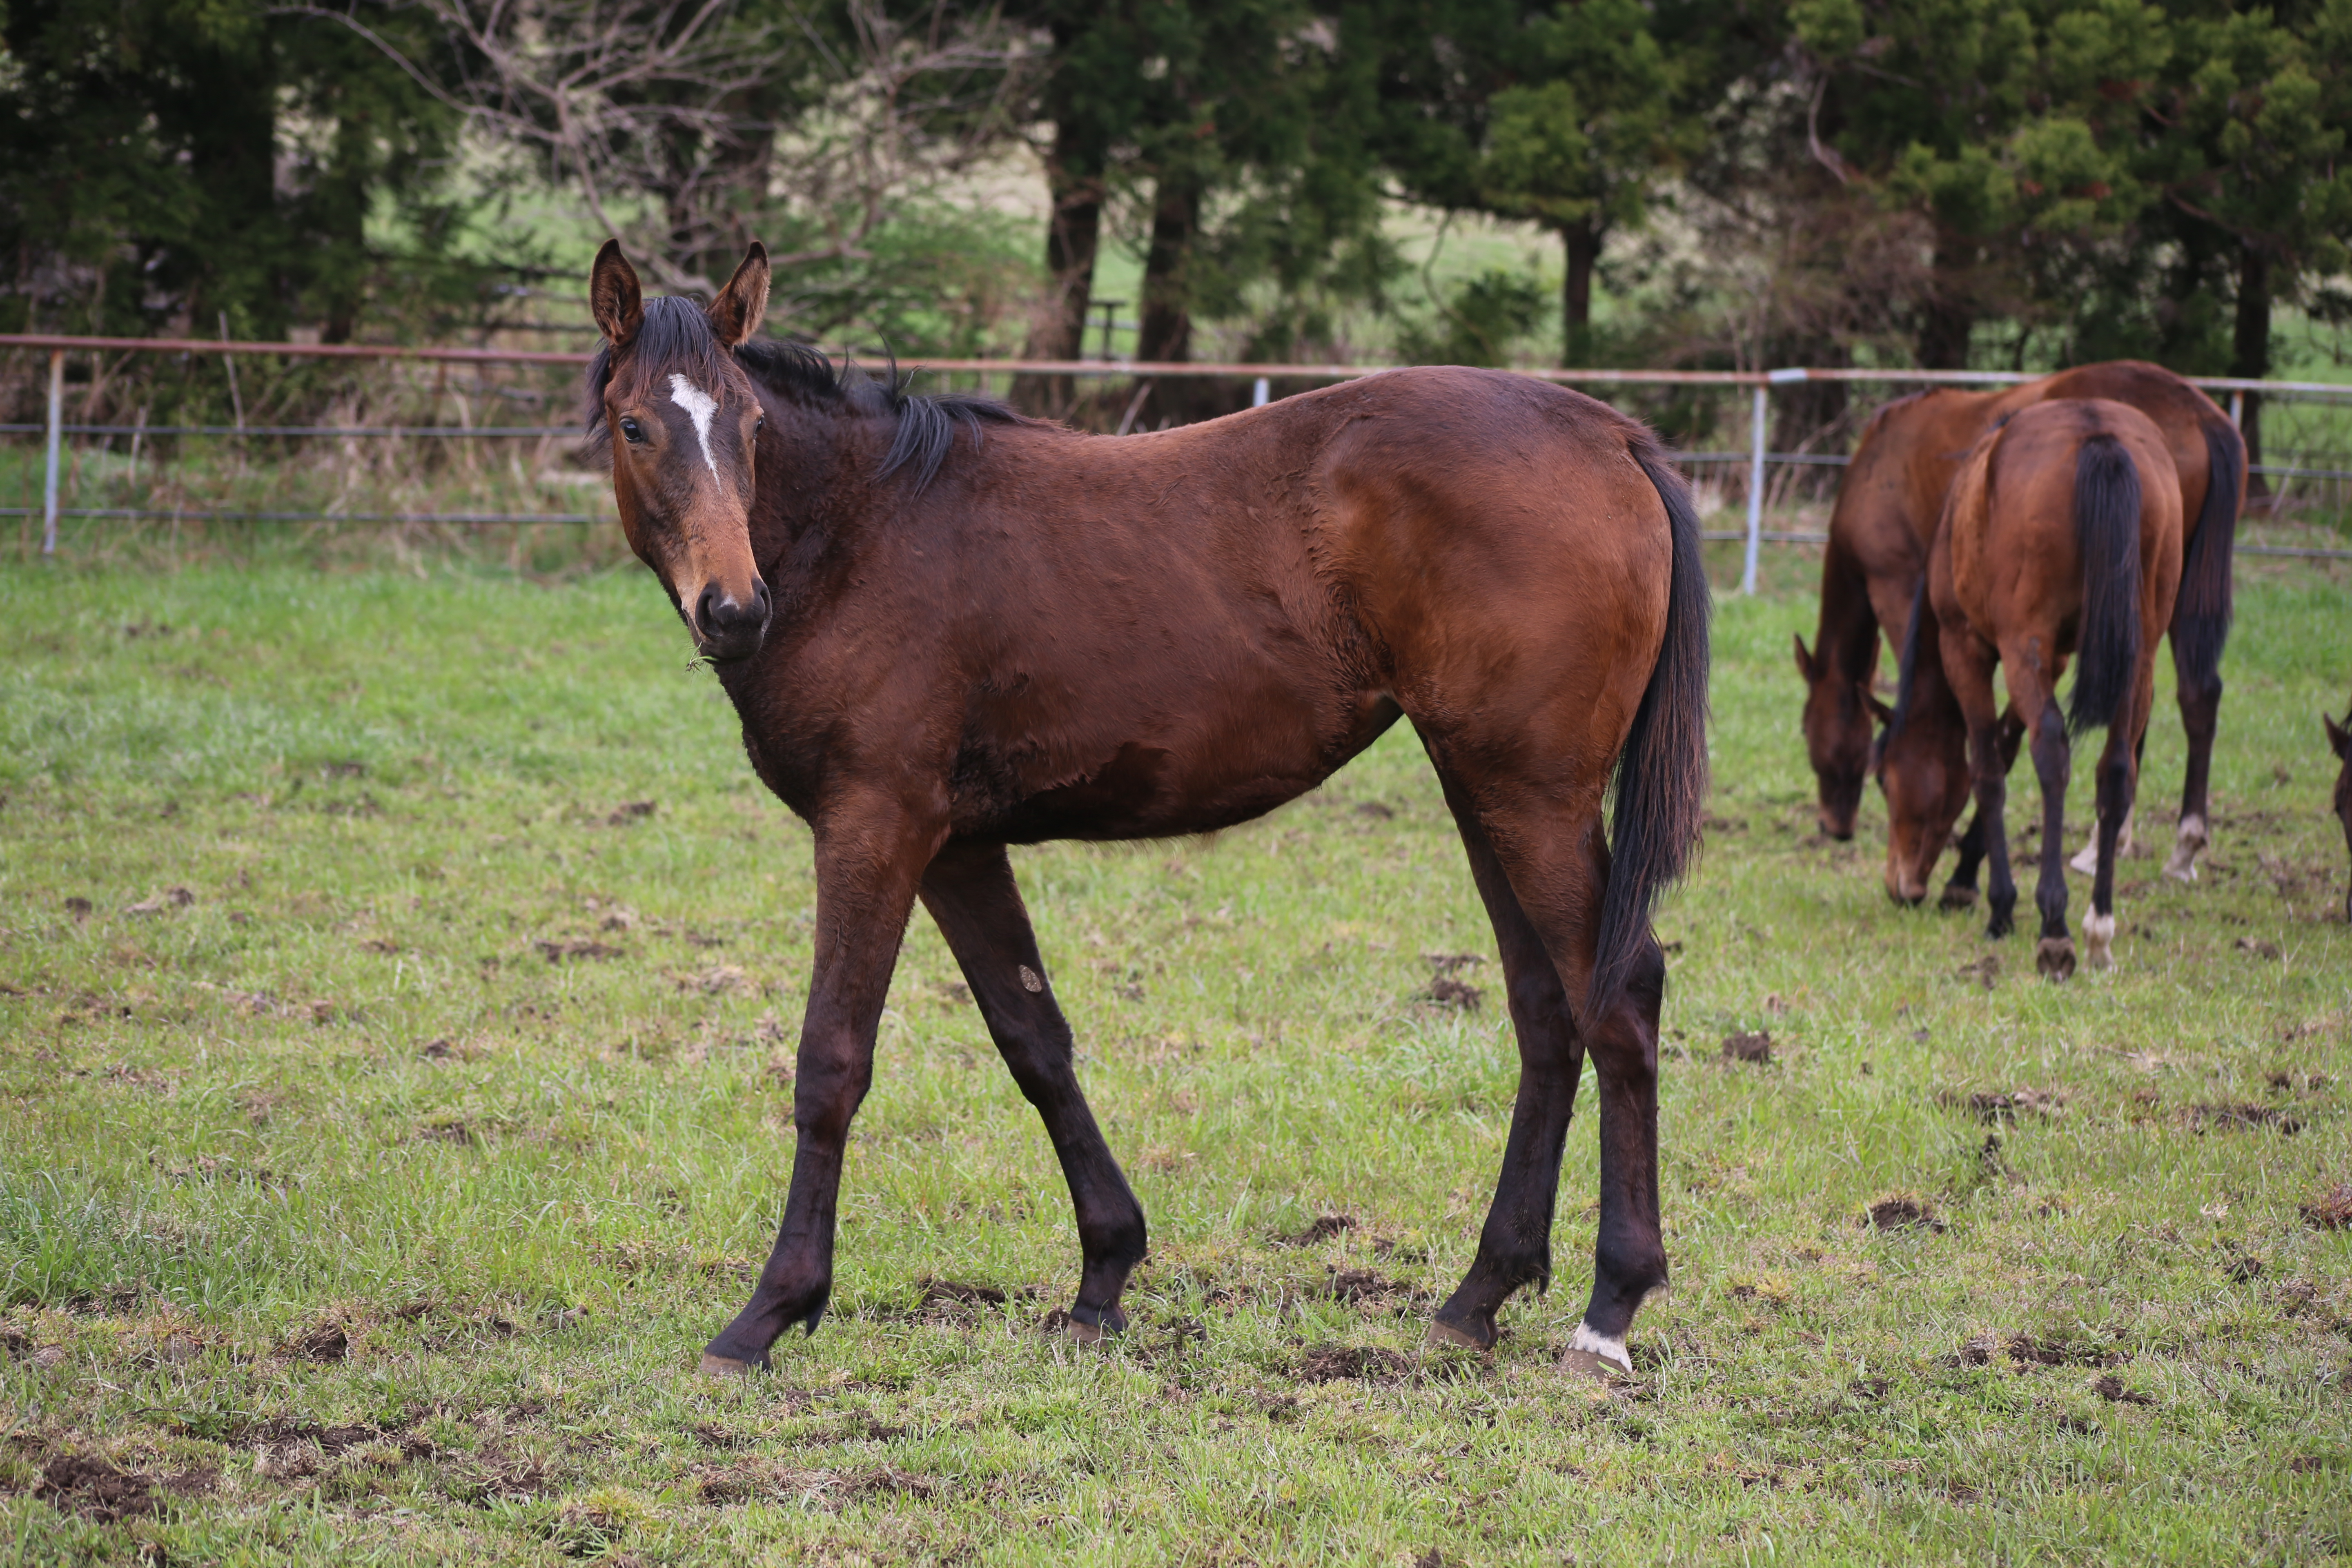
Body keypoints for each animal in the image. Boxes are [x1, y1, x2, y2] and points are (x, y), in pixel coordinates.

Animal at [578, 240, 1703, 1382]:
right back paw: (1478, 1296)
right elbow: (1035, 1041)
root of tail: (1607, 435)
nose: (733, 610)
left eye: (750, 425)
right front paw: (1103, 1275)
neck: (861, 533)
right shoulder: (957, 848)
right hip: (1481, 787)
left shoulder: (874, 829)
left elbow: (831, 1062)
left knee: (1617, 1000)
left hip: (1531, 796)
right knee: (1545, 1010)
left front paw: (767, 1311)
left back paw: (1608, 1312)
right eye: (636, 426)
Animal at [1797, 355, 2239, 893]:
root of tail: (2200, 413)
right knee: (2193, 696)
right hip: (2169, 607)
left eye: (1806, 729)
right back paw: (2176, 846)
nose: (1833, 826)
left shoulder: (1901, 590)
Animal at [1872, 399, 2183, 973]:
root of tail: (2098, 434)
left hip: (2022, 647)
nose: (1900, 886)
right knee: (2116, 768)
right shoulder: (2053, 658)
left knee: (2053, 753)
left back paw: (2055, 927)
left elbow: (1988, 767)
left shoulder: (1967, 647)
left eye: (1882, 779)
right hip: (2140, 656)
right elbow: (2008, 744)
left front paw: (1998, 905)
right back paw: (2099, 927)